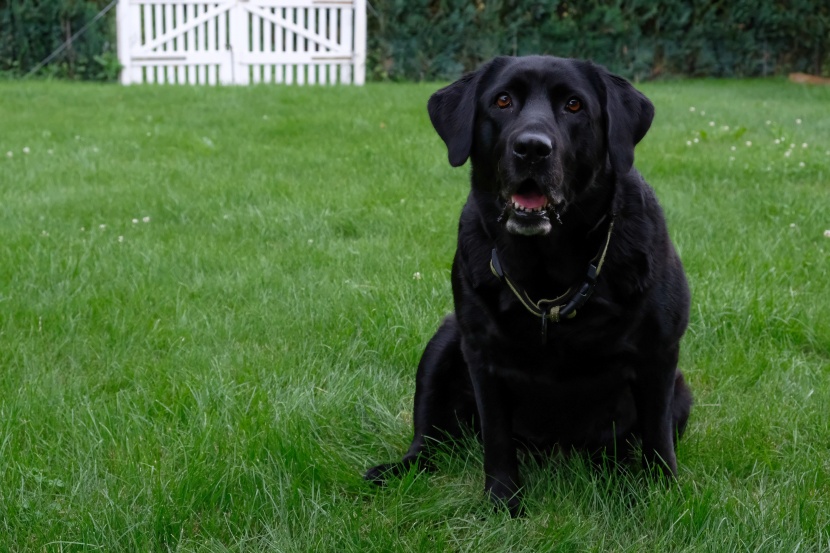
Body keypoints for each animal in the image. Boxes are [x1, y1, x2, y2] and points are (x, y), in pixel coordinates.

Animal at [368, 56, 692, 512]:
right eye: (502, 100)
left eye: (574, 105)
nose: (533, 148)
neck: (547, 271)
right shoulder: (481, 354)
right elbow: (496, 439)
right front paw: (503, 503)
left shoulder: (659, 354)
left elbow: (657, 439)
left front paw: (662, 496)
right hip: (442, 342)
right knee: (428, 439)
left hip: (681, 393)